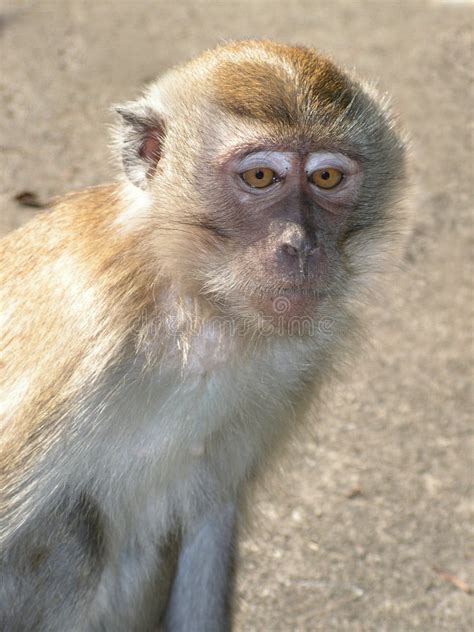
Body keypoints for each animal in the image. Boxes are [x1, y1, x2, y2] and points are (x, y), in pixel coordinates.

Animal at [0, 42, 408, 628]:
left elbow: (210, 515)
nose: (301, 245)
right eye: (259, 177)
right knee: (73, 534)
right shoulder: (89, 326)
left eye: (327, 178)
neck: (198, 308)